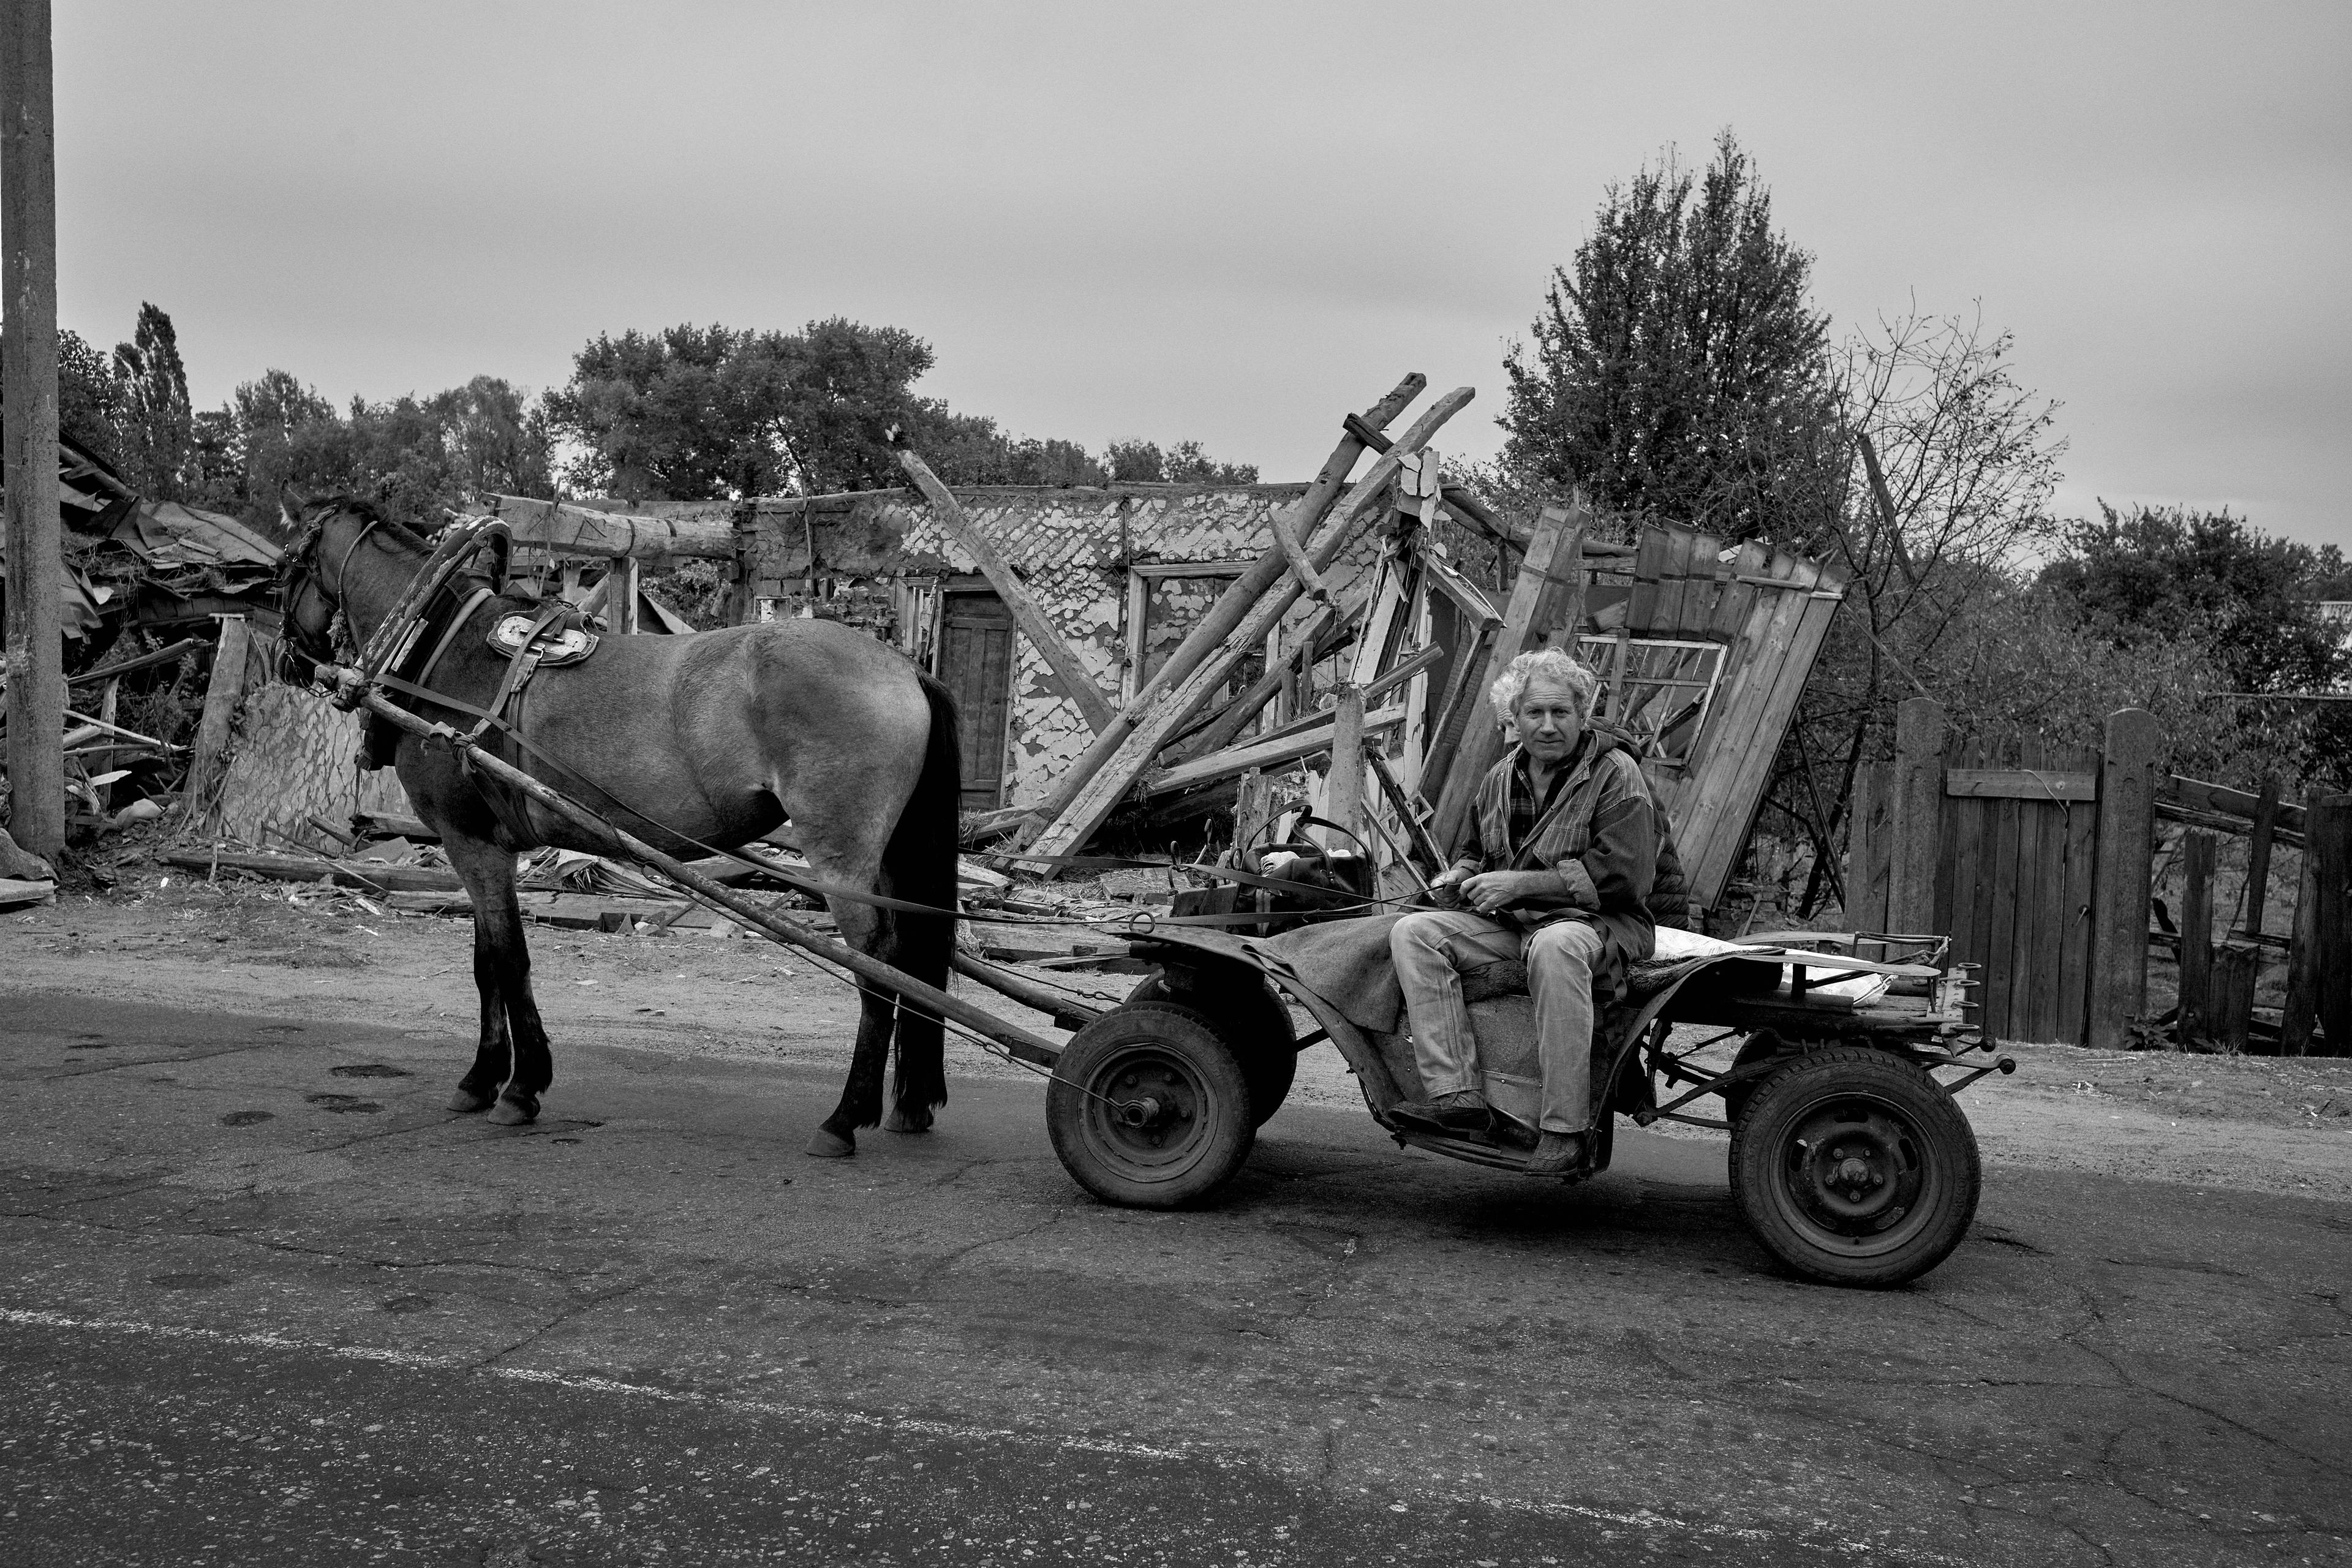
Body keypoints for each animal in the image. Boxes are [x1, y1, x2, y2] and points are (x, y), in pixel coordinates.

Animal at [277, 496, 964, 1161]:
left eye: (284, 567)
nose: (290, 657)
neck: (443, 645)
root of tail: (904, 668)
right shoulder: (484, 844)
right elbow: (485, 962)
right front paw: (486, 1079)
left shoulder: (467, 839)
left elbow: (508, 959)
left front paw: (516, 1088)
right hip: (888, 854)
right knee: (913, 960)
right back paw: (909, 1106)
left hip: (841, 855)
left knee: (879, 967)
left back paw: (844, 1118)